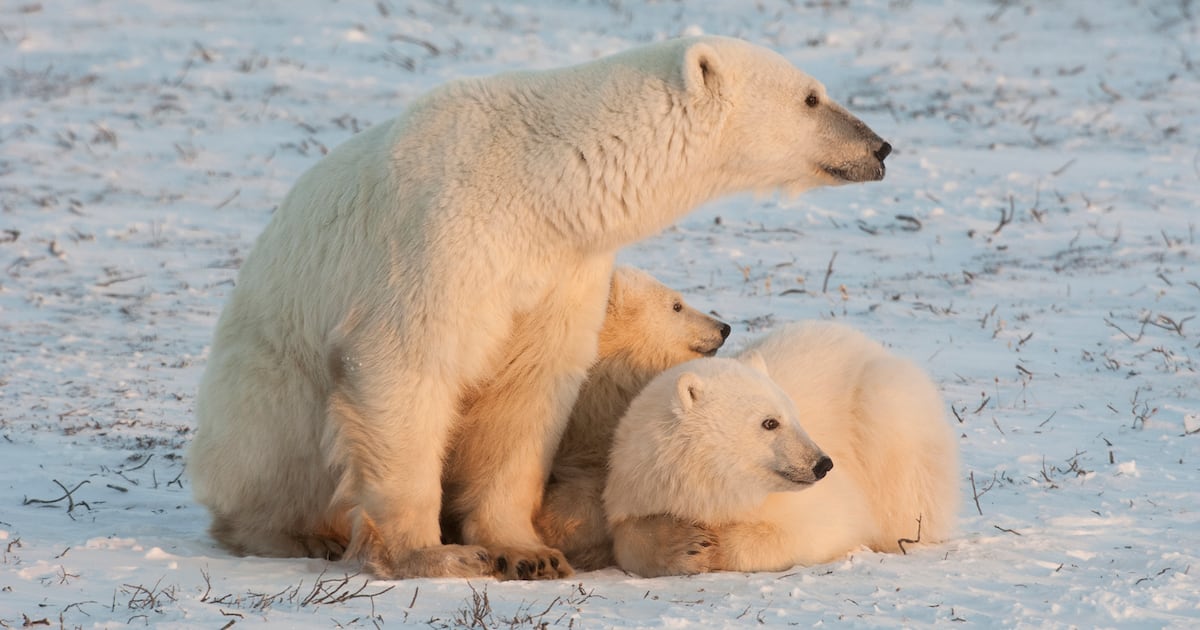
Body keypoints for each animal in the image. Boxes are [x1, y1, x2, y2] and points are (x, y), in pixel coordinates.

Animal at [605, 322, 959, 577]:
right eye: (770, 422)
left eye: (794, 414)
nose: (822, 463)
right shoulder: (645, 484)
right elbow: (628, 538)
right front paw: (683, 545)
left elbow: (819, 526)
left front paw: (712, 545)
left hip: (886, 405)